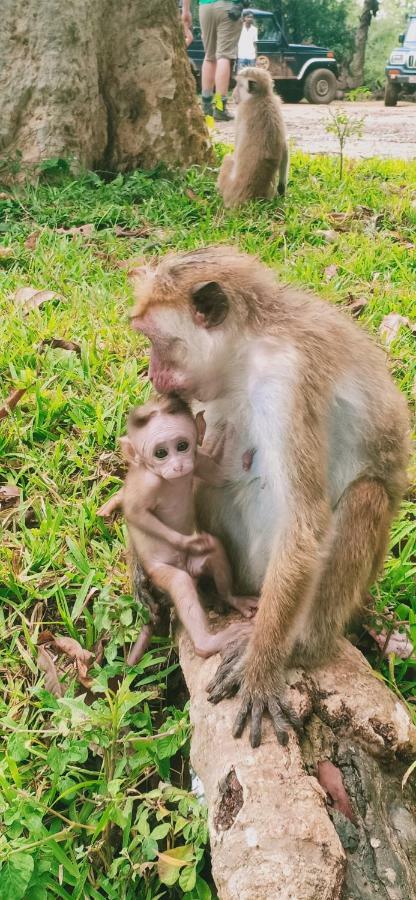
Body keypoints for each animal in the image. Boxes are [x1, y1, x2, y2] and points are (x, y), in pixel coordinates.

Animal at [120, 398, 256, 656]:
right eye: (161, 453)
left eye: (182, 446)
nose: (178, 465)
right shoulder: (148, 484)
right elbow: (135, 512)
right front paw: (182, 540)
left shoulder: (198, 459)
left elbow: (220, 477)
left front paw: (240, 454)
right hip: (161, 572)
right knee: (179, 583)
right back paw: (207, 644)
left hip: (196, 564)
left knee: (214, 549)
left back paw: (232, 598)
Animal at [218, 67, 290, 207]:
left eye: (239, 85)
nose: (233, 94)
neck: (262, 97)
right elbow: (285, 149)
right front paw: (282, 189)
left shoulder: (241, 113)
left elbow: (235, 152)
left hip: (227, 184)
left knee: (228, 159)